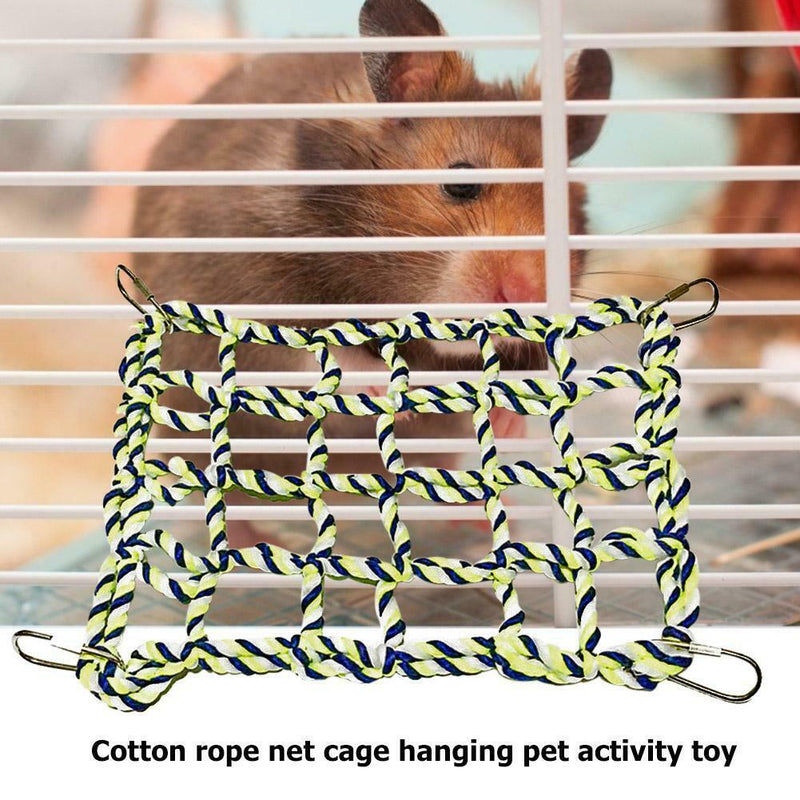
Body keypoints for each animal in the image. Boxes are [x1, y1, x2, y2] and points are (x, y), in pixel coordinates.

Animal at [131, 0, 612, 481]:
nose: (528, 295)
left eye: (569, 214)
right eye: (461, 183)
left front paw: (510, 422)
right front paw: (390, 393)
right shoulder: (242, 287)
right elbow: (310, 354)